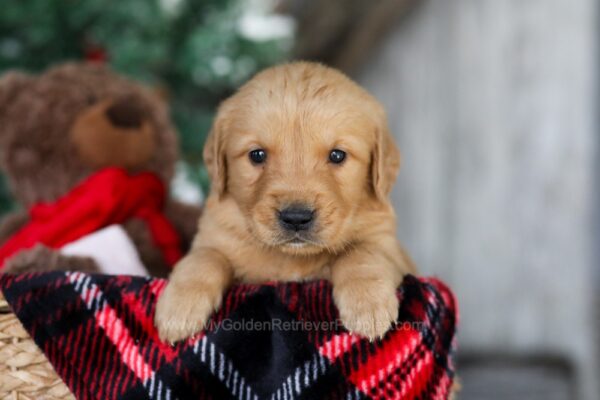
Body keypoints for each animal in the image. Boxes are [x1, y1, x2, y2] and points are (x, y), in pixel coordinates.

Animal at [157, 61, 414, 342]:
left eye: (337, 155)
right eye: (257, 155)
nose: (296, 218)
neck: (292, 257)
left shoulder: (390, 247)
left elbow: (361, 252)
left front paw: (367, 304)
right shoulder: (214, 235)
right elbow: (204, 257)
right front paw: (179, 308)